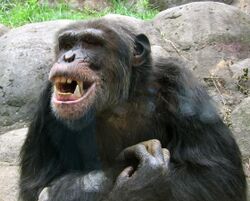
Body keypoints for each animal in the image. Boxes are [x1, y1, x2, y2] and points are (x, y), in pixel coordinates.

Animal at [19, 18, 246, 201]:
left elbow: (215, 175)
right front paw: (129, 178)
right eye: (66, 45)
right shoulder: (46, 104)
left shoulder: (182, 84)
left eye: (92, 43)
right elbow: (35, 184)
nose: (68, 57)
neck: (116, 103)